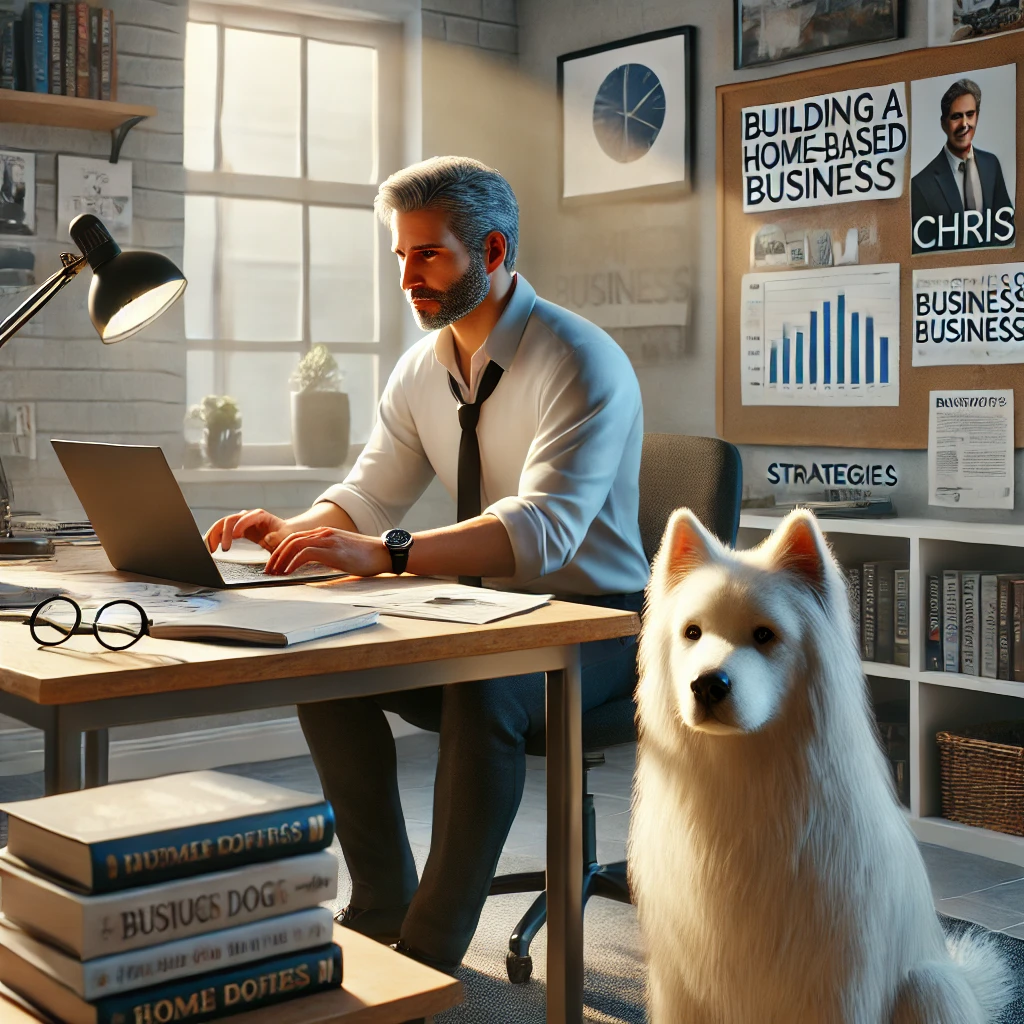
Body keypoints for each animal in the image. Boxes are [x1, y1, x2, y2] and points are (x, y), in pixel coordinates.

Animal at [626, 507, 1011, 1019]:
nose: (708, 685)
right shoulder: (682, 986)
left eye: (764, 635)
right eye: (692, 632)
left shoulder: (835, 983)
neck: (747, 784)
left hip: (929, 986)